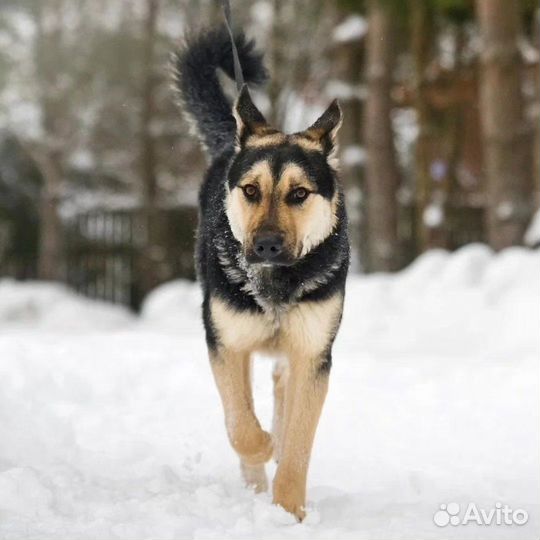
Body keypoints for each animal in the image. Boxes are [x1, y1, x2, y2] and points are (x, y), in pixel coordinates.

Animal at [174, 27, 350, 520]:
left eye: (299, 194)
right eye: (251, 190)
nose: (267, 244)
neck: (275, 282)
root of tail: (228, 145)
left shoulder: (312, 354)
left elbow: (298, 441)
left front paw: (288, 510)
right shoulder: (225, 342)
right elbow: (241, 425)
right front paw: (263, 450)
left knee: (280, 390)